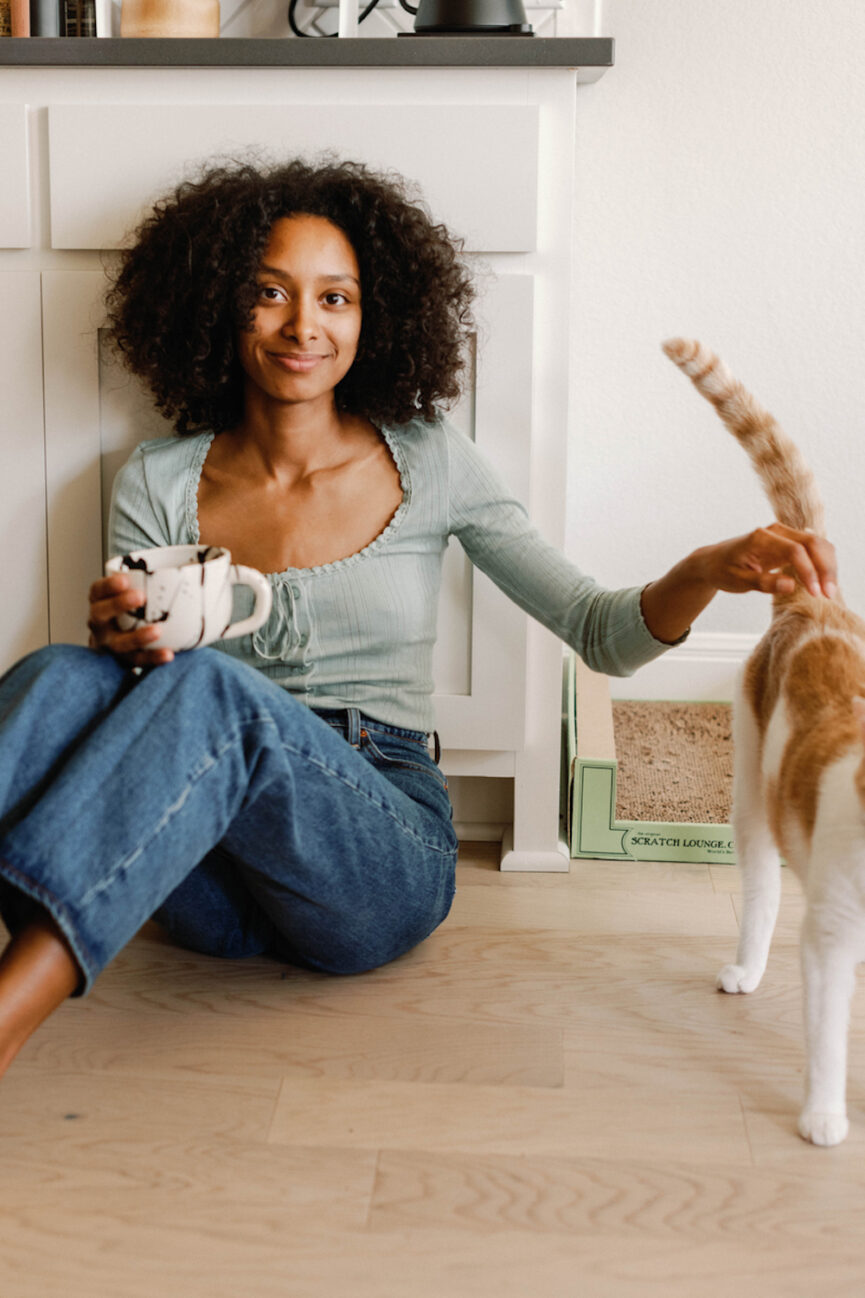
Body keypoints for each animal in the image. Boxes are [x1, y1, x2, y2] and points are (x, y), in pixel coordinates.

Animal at [659, 337, 862, 1147]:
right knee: (763, 889)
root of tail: (813, 598)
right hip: (751, 793)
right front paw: (824, 1114)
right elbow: (827, 1036)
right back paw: (745, 970)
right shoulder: (834, 933)